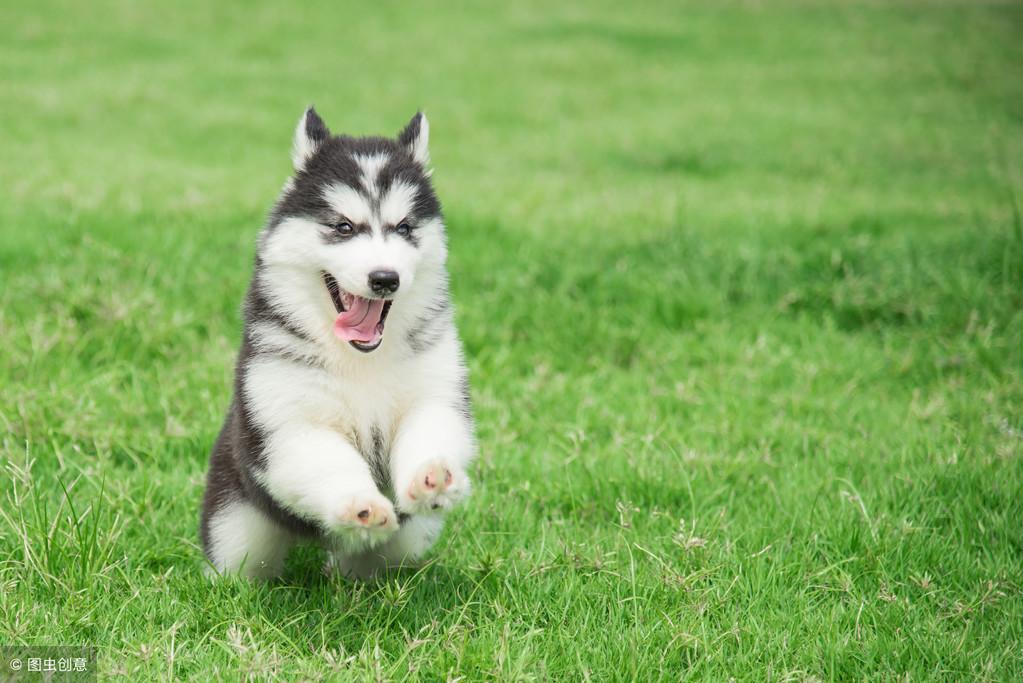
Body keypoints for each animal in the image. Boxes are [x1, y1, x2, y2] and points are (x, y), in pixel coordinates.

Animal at [201, 109, 476, 580]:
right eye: (344, 227)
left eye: (404, 227)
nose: (384, 279)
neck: (360, 360)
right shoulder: (289, 422)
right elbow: (330, 460)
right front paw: (360, 504)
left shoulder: (434, 392)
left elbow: (430, 430)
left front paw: (433, 476)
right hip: (234, 526)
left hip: (404, 542)